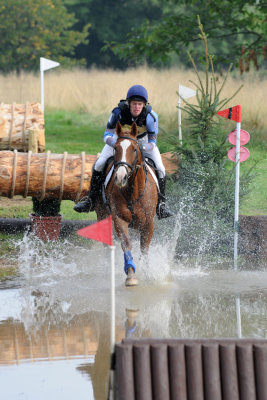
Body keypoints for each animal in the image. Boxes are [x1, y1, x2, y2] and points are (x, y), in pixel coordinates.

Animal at [96, 123, 159, 286]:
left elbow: (144, 248)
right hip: (102, 214)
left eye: (135, 149)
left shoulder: (148, 223)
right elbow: (126, 244)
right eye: (115, 148)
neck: (133, 191)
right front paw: (131, 274)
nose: (120, 177)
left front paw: (147, 273)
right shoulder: (120, 219)